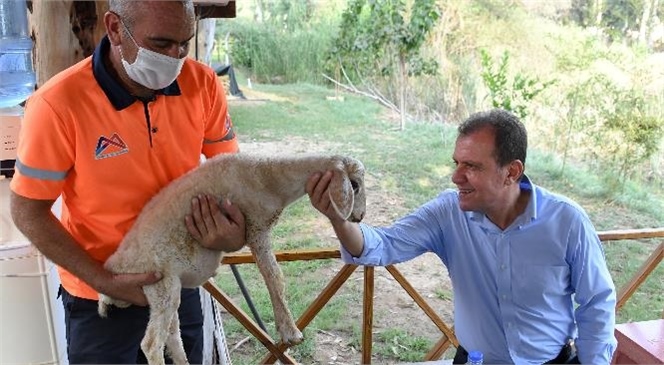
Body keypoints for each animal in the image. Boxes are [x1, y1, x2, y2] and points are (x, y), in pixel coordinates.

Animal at [96, 151, 366, 364]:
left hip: (165, 290)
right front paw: (290, 332)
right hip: (159, 283)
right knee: (151, 343)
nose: (360, 217)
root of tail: (115, 266)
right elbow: (275, 278)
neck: (270, 178)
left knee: (172, 335)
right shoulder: (256, 229)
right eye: (354, 185)